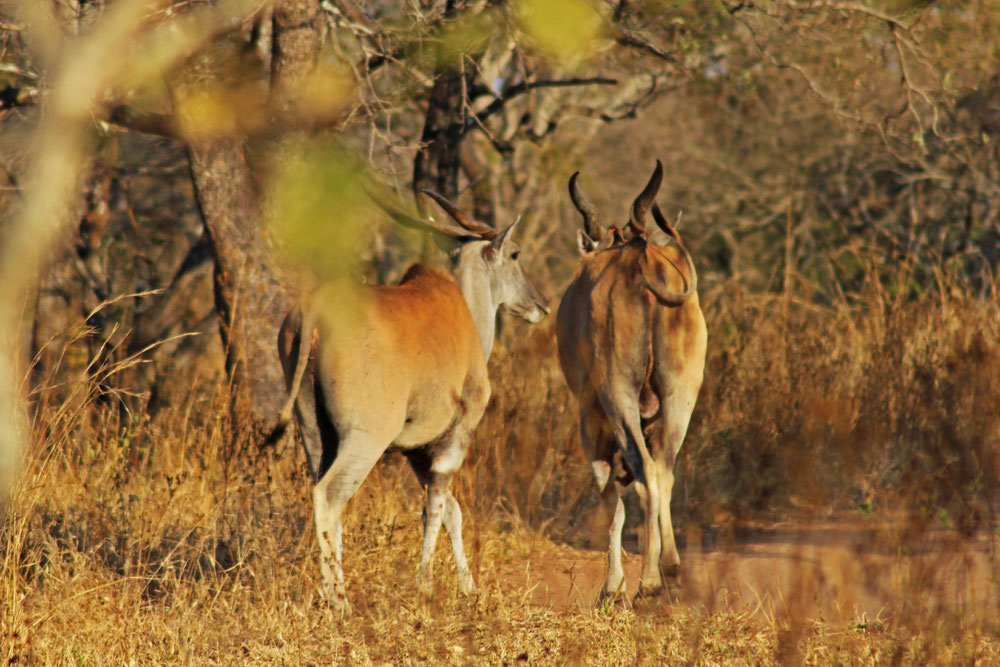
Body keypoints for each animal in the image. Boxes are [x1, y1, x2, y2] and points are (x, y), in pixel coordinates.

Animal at [272, 190, 548, 612]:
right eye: (515, 254)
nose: (541, 304)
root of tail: (314, 309)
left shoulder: (416, 452)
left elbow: (450, 509)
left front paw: (468, 587)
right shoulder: (455, 435)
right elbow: (436, 505)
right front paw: (427, 584)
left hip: (314, 434)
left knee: (324, 493)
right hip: (366, 438)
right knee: (329, 495)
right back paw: (339, 600)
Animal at [556, 162, 704, 600]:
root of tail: (642, 258)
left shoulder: (592, 421)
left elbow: (612, 498)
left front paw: (612, 586)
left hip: (617, 398)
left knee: (643, 472)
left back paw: (650, 581)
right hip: (680, 398)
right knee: (664, 469)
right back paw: (669, 568)